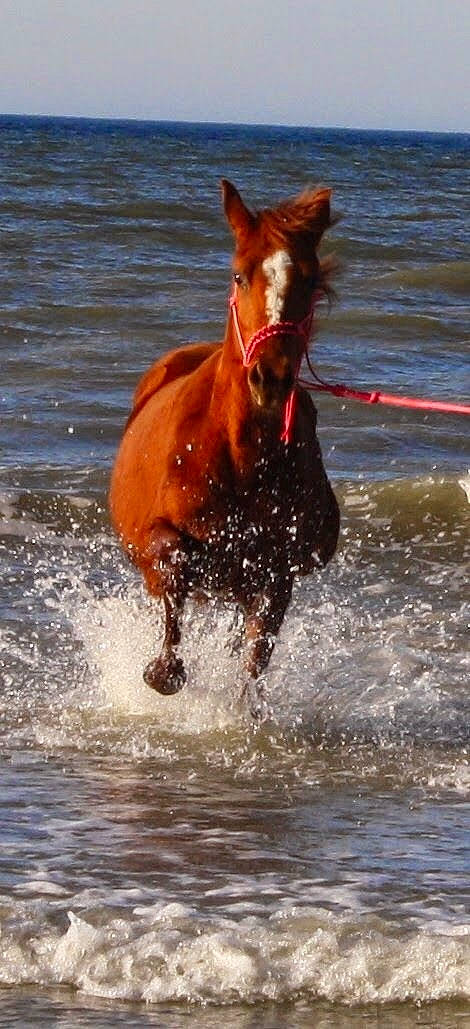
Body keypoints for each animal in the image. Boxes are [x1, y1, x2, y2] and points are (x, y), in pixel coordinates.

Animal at [109, 180, 340, 708]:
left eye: (310, 281)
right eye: (239, 275)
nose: (270, 378)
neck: (241, 457)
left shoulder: (275, 573)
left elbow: (254, 658)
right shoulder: (156, 539)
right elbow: (173, 559)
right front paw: (163, 670)